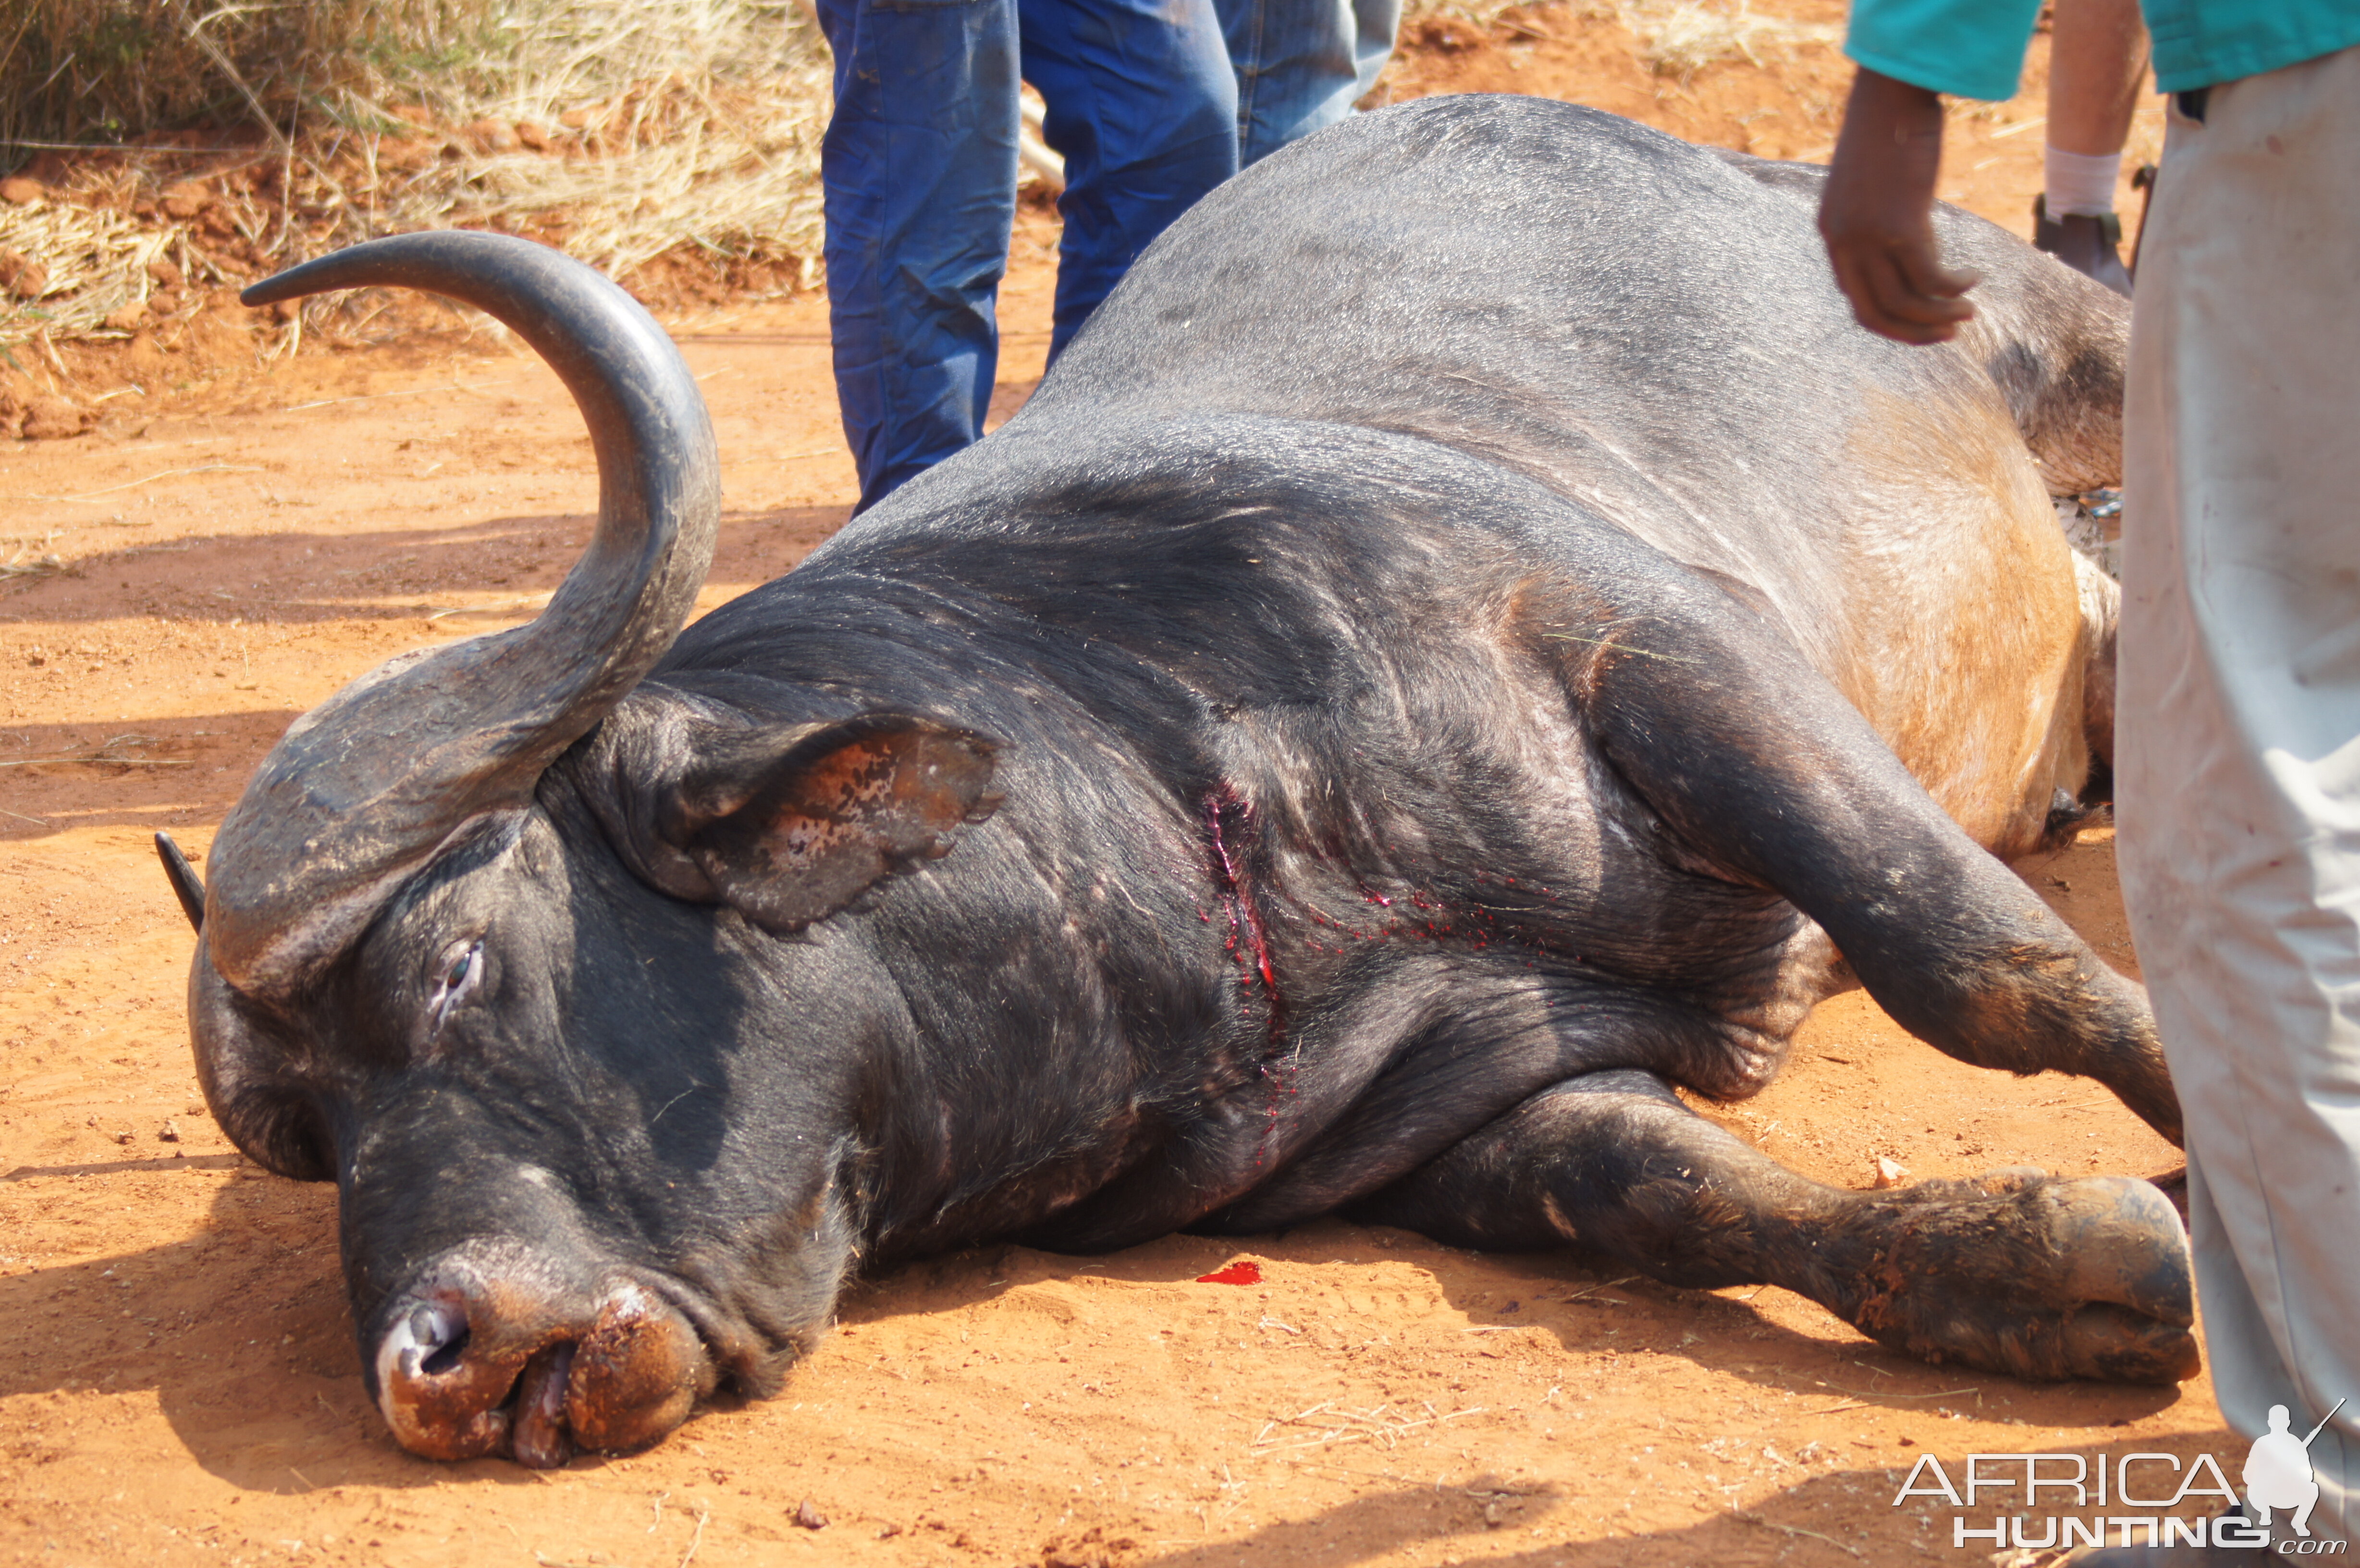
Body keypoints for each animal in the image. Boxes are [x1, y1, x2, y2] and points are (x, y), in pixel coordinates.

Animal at [161, 98, 2190, 1473]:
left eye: (458, 966)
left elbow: (1989, 969)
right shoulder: (1475, 1107)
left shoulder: (1660, 648)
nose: (429, 1358)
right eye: (311, 1137)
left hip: (2063, 334)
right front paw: (2048, 1263)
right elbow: (1690, 1199)